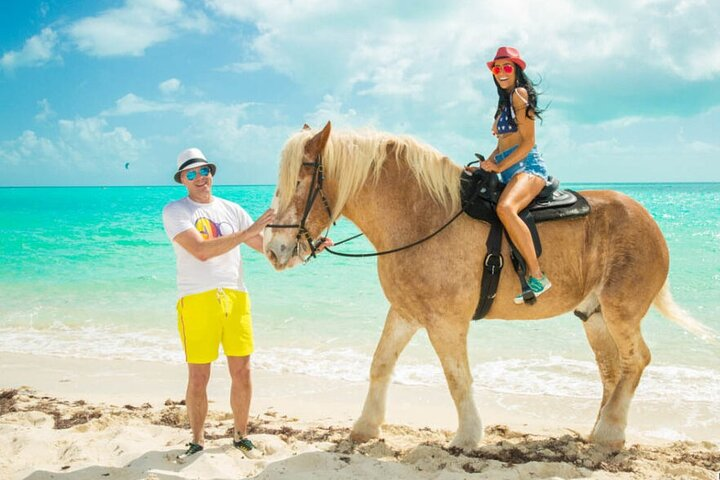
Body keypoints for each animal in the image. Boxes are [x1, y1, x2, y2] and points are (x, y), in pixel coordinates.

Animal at [262, 120, 712, 450]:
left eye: (300, 181)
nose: (273, 248)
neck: (420, 216)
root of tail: (649, 220)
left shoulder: (445, 323)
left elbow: (456, 377)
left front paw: (466, 436)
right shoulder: (406, 313)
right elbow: (380, 364)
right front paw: (365, 427)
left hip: (621, 312)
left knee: (636, 361)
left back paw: (609, 433)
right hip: (594, 315)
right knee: (612, 369)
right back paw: (602, 433)